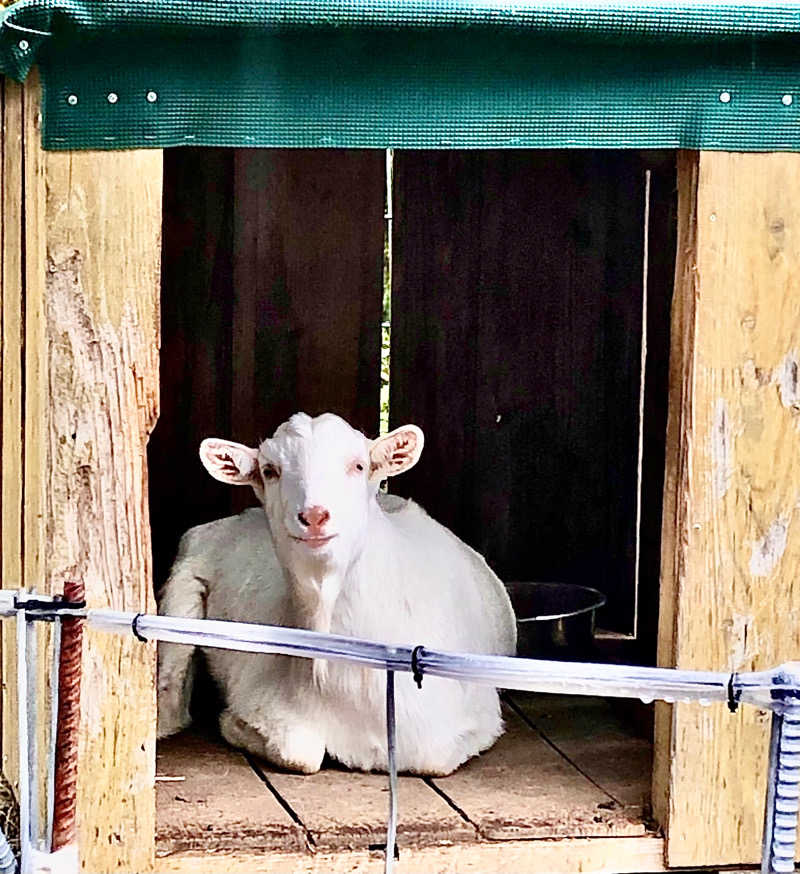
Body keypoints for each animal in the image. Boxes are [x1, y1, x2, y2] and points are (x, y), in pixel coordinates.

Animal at [158, 412, 520, 772]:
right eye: (270, 470)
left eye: (358, 465)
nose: (314, 515)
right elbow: (301, 752)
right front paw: (233, 723)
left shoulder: (473, 716)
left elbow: (433, 760)